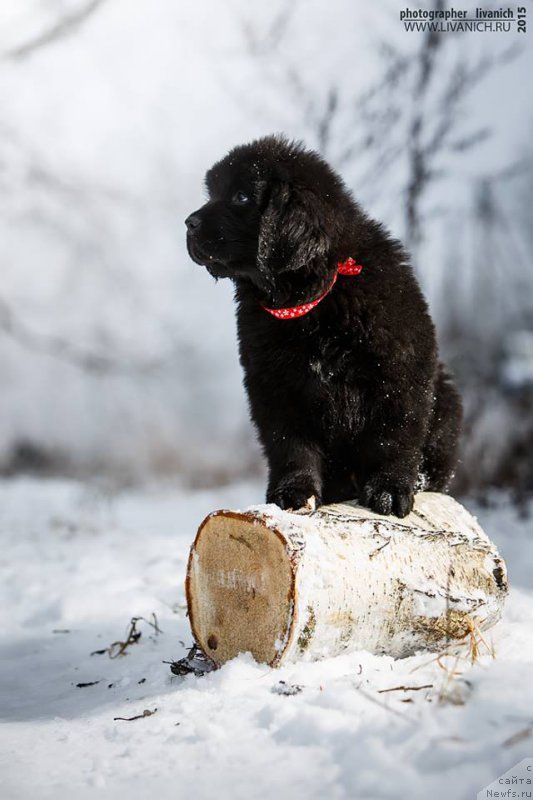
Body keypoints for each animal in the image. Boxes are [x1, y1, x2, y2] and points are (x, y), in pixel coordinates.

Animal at [185, 136, 460, 520]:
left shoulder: (400, 370)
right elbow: (291, 446)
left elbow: (393, 435)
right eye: (212, 193)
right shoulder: (276, 388)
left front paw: (389, 490)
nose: (188, 223)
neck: (311, 298)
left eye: (240, 197)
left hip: (446, 397)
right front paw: (293, 492)